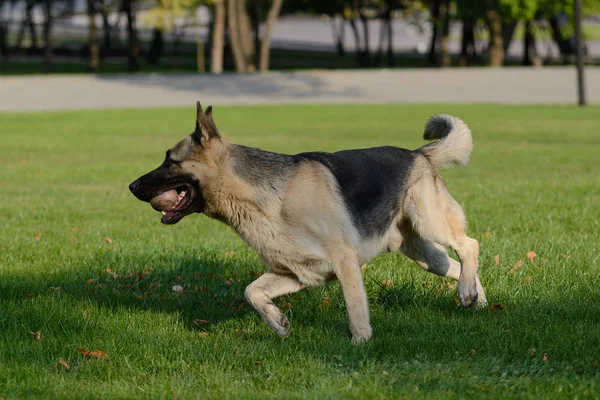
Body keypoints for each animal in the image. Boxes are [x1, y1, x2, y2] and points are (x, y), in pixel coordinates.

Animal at [130, 101, 488, 342]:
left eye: (169, 160)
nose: (132, 186)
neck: (265, 199)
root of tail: (419, 154)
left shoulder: (345, 263)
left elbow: (356, 309)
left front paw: (361, 345)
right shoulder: (296, 273)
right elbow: (251, 291)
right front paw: (277, 322)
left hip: (432, 224)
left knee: (469, 245)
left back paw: (467, 292)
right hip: (425, 254)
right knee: (457, 265)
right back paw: (475, 299)